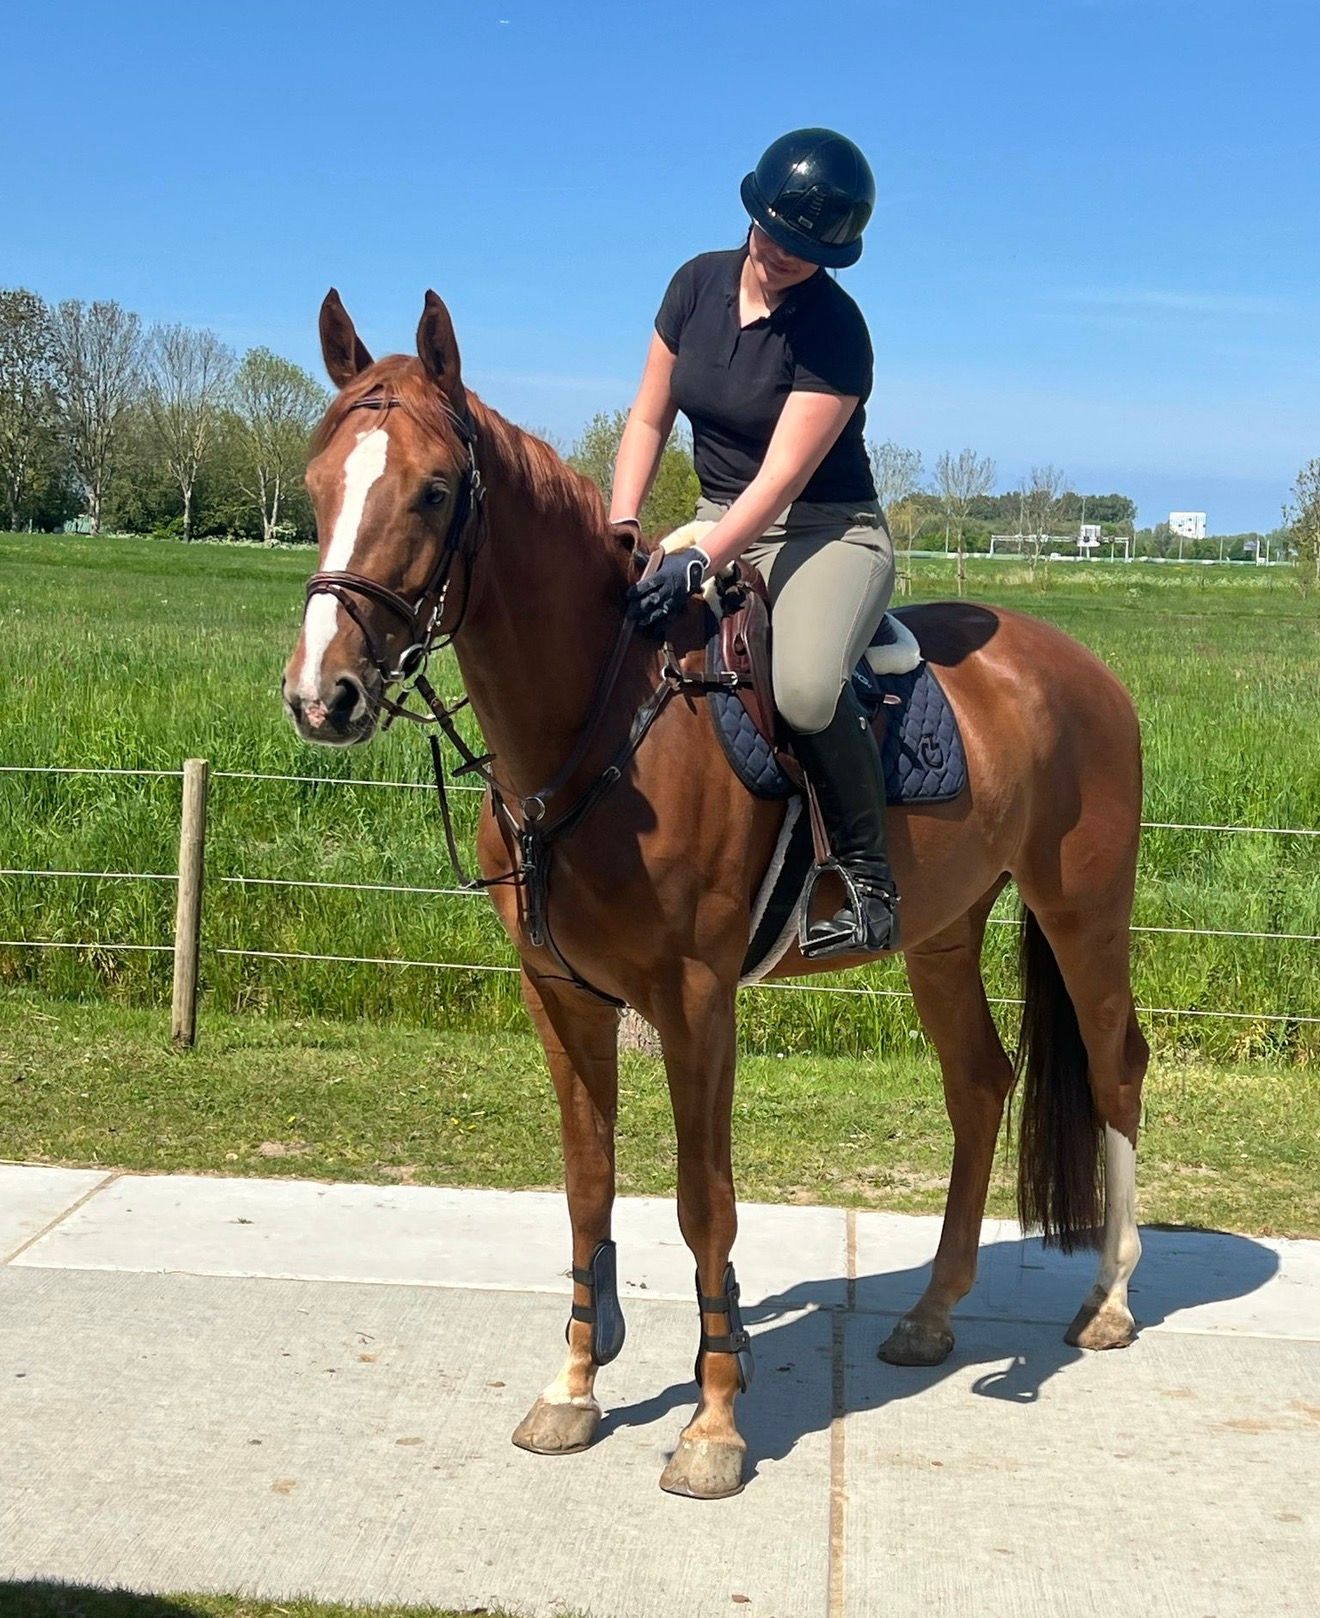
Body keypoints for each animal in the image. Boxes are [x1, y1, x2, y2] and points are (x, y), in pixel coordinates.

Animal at [282, 289, 1149, 1500]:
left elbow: (704, 1203)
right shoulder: (561, 994)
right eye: (318, 483)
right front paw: (573, 1388)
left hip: (1083, 913)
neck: (599, 721)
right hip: (942, 932)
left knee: (1116, 1068)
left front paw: (713, 1422)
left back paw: (1108, 1298)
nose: (324, 696)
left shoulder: (697, 1000)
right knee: (980, 1085)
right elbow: (587, 1186)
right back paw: (932, 1312)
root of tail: (1079, 668)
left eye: (435, 489)